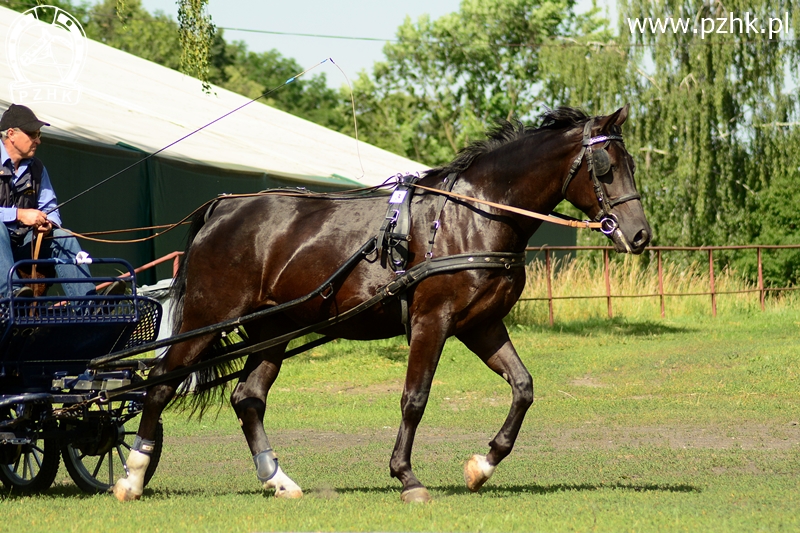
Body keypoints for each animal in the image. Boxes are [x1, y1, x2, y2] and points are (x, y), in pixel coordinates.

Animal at [111, 105, 648, 502]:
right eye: (606, 168)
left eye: (631, 165)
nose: (640, 235)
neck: (472, 216)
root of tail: (222, 207)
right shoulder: (432, 321)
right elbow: (415, 399)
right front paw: (407, 477)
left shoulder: (482, 324)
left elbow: (523, 387)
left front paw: (482, 465)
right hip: (208, 320)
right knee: (160, 383)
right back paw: (133, 475)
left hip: (272, 329)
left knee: (248, 398)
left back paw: (278, 480)